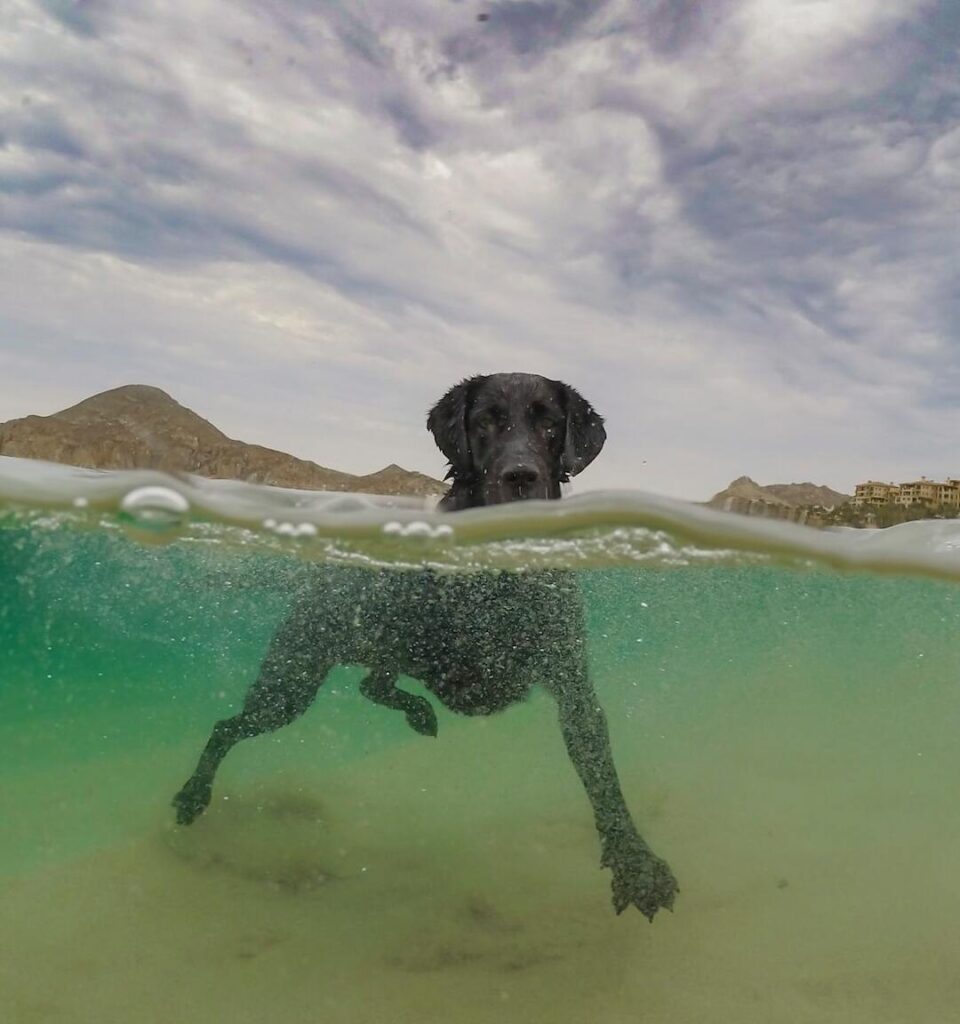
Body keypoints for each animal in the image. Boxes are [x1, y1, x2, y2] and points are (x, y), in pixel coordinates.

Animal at [173, 374, 679, 921]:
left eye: (550, 423)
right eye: (484, 422)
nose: (520, 476)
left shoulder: (574, 689)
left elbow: (604, 778)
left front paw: (637, 863)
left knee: (372, 684)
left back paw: (418, 713)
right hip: (290, 685)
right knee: (230, 726)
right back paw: (192, 795)